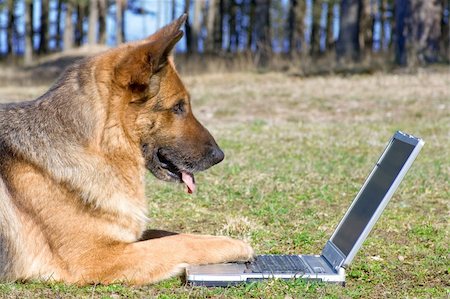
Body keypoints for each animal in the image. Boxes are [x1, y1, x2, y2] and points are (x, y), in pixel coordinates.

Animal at [0, 15, 253, 286]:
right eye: (178, 107)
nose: (220, 156)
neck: (101, 146)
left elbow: (171, 234)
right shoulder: (97, 257)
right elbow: (179, 242)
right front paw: (235, 244)